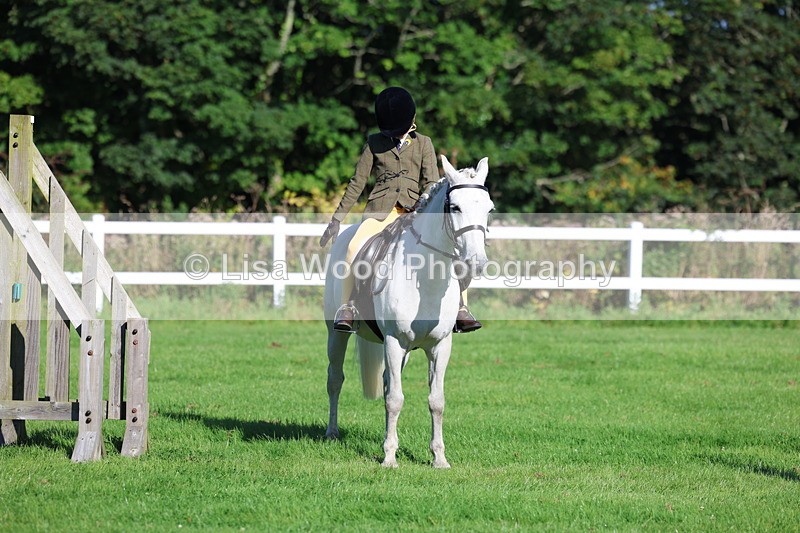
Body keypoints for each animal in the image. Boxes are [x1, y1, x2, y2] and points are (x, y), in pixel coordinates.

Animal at [323, 155, 493, 468]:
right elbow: (395, 400)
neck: (425, 277)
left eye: (489, 209)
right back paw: (332, 432)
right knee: (335, 379)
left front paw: (439, 458)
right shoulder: (394, 341)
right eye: (455, 207)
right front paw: (390, 458)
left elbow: (435, 401)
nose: (476, 262)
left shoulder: (440, 346)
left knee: (387, 384)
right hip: (336, 334)